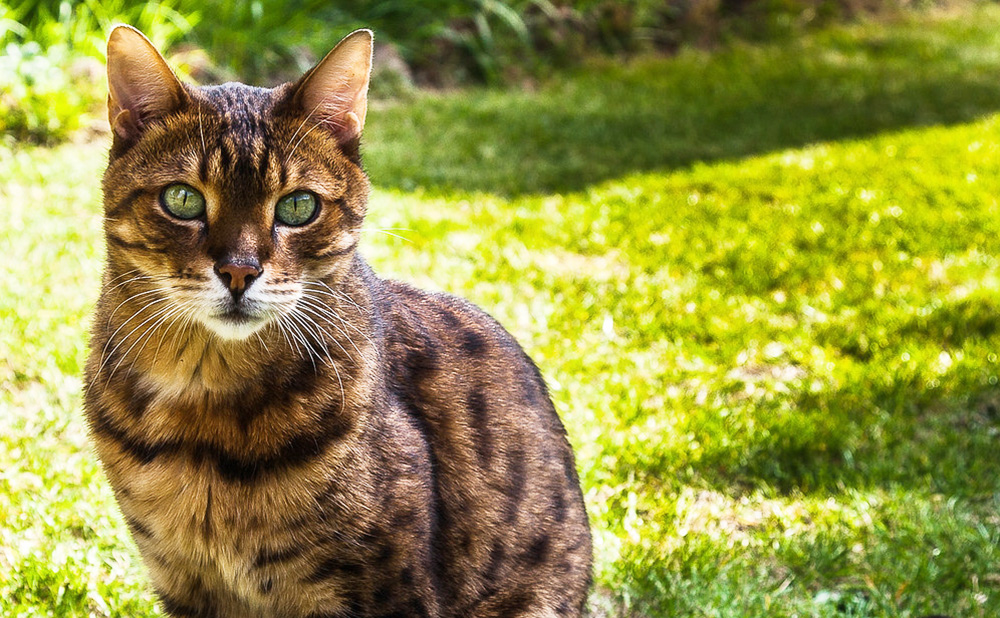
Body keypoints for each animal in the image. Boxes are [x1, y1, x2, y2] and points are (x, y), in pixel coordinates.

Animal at [84, 24, 592, 616]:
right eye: (183, 199)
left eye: (297, 206)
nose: (239, 271)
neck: (203, 409)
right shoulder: (186, 585)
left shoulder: (386, 588)